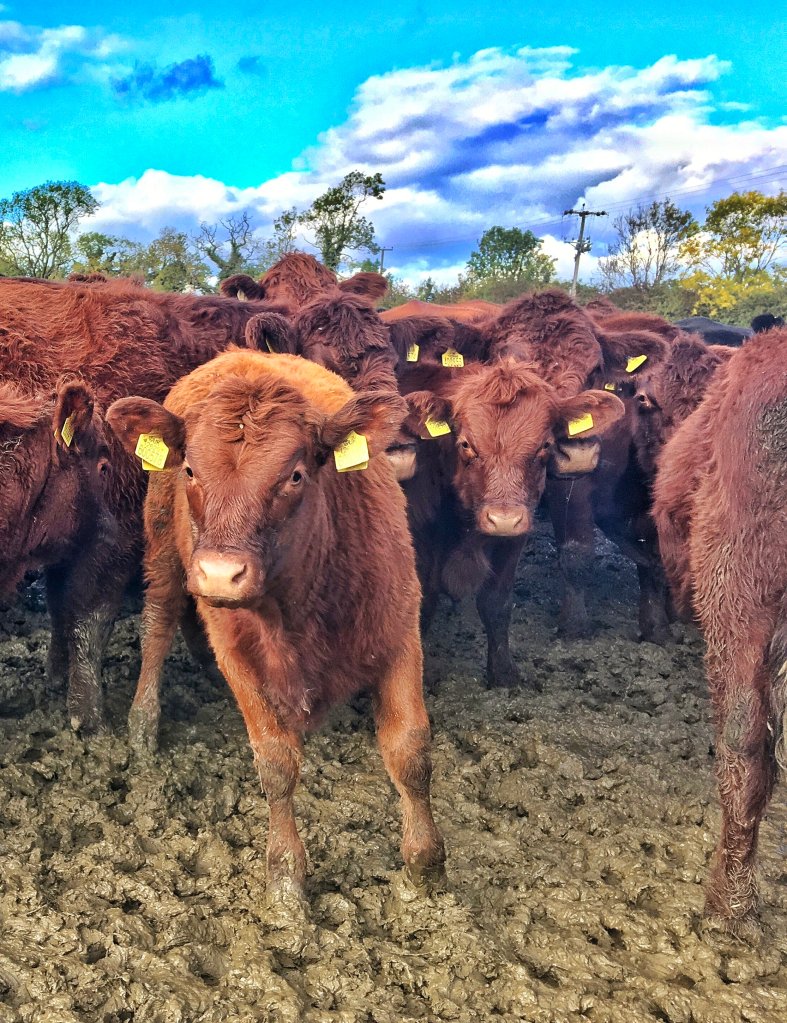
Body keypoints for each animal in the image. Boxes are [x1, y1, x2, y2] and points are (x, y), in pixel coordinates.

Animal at [106, 351, 446, 897]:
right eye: (190, 468)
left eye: (295, 475)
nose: (220, 573)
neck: (295, 611)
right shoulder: (239, 659)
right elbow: (276, 762)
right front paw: (286, 879)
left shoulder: (399, 633)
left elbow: (409, 750)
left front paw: (425, 866)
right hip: (162, 549)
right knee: (157, 621)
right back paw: (142, 725)